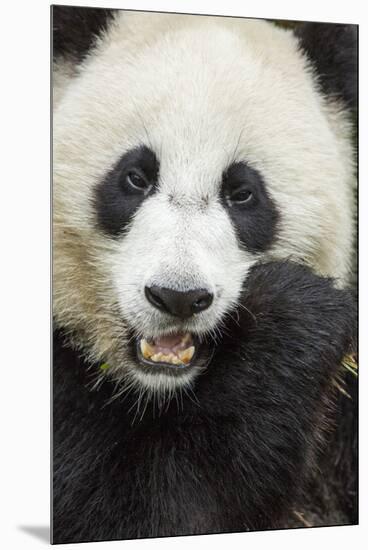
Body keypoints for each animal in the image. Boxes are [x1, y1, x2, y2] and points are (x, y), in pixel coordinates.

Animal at [51, 8, 356, 548]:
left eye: (243, 193)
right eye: (135, 177)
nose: (177, 297)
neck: (156, 389)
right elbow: (157, 507)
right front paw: (292, 315)